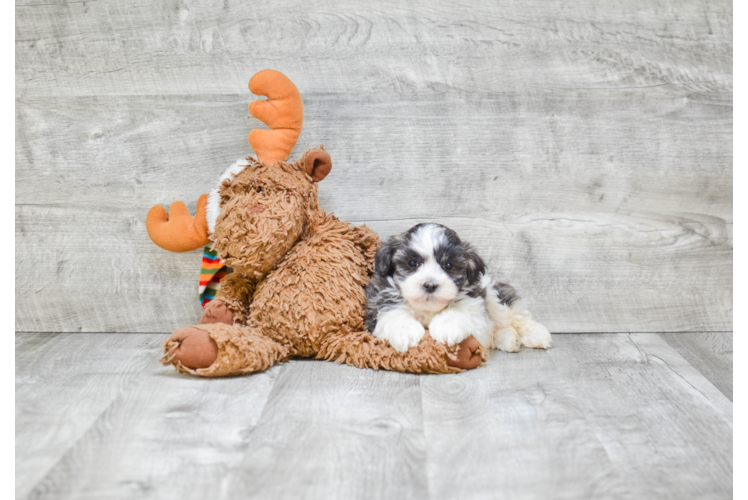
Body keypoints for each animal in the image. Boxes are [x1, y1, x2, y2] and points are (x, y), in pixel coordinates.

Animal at [366, 223, 552, 356]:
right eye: (412, 263)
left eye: (448, 265)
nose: (430, 285)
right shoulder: (378, 303)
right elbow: (392, 313)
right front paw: (405, 330)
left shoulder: (477, 309)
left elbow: (461, 311)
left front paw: (447, 327)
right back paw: (509, 339)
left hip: (493, 295)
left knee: (516, 317)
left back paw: (536, 335)